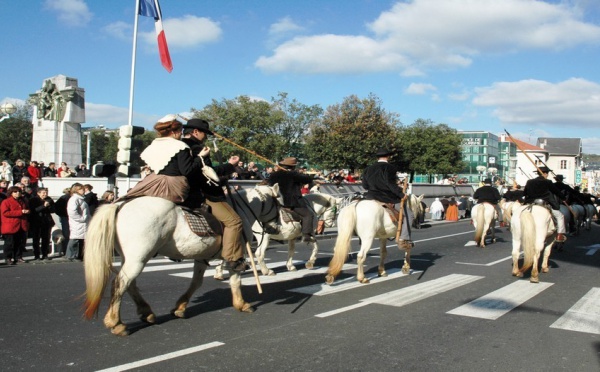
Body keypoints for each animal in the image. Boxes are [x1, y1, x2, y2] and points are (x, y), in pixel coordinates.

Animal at [81, 196, 260, 336]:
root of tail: (120, 205)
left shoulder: (201, 258)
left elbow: (196, 283)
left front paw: (180, 307)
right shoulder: (236, 253)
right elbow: (235, 279)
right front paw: (241, 304)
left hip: (131, 259)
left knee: (129, 283)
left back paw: (146, 312)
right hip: (138, 259)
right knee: (120, 283)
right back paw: (116, 323)